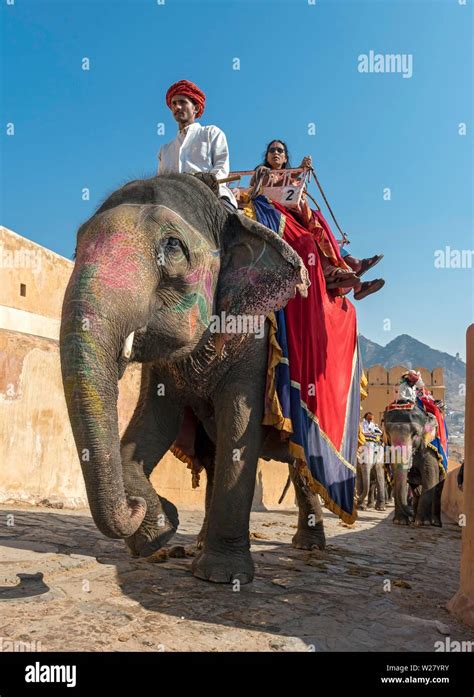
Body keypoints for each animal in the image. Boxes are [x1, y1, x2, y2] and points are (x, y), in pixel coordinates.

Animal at [60, 173, 334, 580]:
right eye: (76, 250)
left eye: (172, 245)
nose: (135, 504)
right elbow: (151, 425)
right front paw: (159, 531)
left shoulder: (254, 342)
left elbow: (239, 427)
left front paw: (222, 576)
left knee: (300, 464)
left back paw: (308, 546)